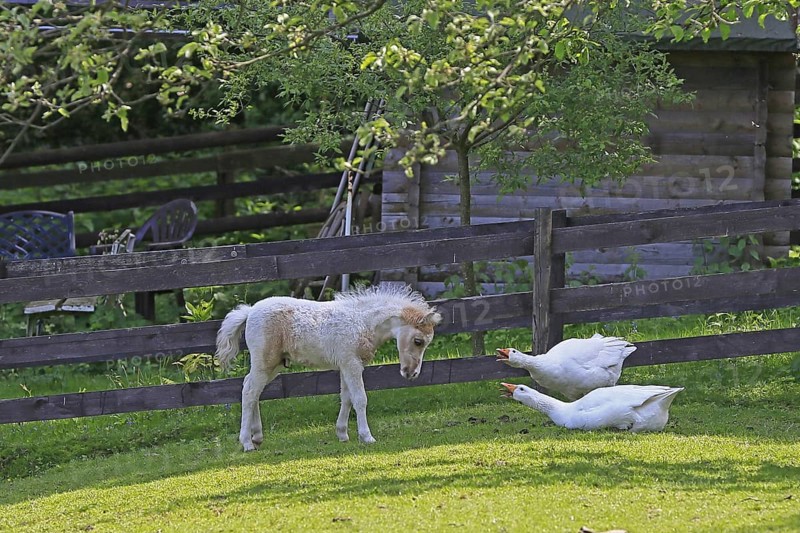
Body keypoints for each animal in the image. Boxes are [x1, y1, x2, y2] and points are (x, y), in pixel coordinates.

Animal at [215, 284, 442, 451]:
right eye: (418, 341)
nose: (411, 373)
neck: (363, 322)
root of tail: (250, 311)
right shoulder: (351, 364)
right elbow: (360, 399)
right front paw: (367, 436)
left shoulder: (346, 365)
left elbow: (347, 398)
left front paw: (342, 433)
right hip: (264, 362)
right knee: (249, 391)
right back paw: (247, 443)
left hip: (274, 365)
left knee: (252, 390)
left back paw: (257, 437)